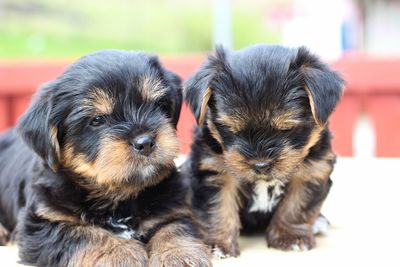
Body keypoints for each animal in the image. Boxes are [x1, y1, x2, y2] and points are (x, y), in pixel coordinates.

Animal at [0, 50, 211, 267]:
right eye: (97, 120)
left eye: (158, 105)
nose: (145, 142)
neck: (117, 195)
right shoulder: (40, 223)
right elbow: (82, 233)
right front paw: (120, 252)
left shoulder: (173, 206)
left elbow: (174, 226)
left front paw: (178, 254)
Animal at [184, 45, 344, 256]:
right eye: (230, 130)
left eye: (288, 129)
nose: (261, 165)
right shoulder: (214, 169)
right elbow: (217, 207)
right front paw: (217, 243)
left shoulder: (312, 171)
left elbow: (296, 207)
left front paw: (290, 237)